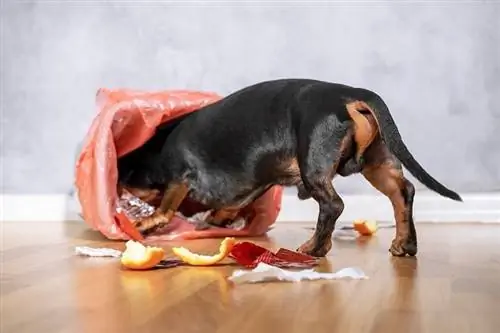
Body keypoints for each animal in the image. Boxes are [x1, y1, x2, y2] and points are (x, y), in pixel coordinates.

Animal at [117, 78, 460, 256]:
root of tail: (351, 95)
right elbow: (226, 208)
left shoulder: (179, 177)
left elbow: (164, 210)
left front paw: (144, 225)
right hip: (378, 163)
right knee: (403, 192)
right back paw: (405, 243)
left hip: (314, 166)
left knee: (333, 205)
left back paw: (314, 248)